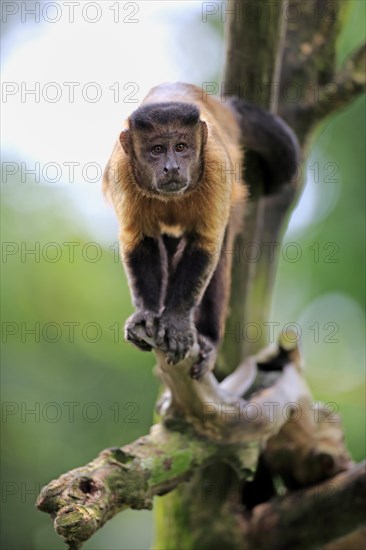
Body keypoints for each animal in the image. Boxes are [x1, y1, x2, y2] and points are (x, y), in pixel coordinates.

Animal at [101, 83, 298, 380]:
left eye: (181, 147)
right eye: (157, 149)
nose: (172, 167)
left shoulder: (217, 167)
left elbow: (206, 245)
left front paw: (177, 322)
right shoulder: (121, 170)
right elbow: (139, 240)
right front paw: (147, 313)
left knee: (220, 256)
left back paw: (208, 341)